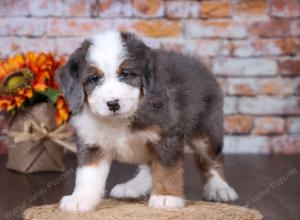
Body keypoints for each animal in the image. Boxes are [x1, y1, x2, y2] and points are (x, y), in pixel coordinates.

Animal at [55, 30, 239, 211]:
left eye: (126, 74)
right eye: (93, 78)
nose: (113, 104)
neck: (120, 121)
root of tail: (200, 65)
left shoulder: (167, 135)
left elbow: (166, 168)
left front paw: (166, 197)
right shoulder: (92, 141)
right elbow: (87, 174)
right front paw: (80, 199)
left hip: (206, 130)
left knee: (211, 160)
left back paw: (219, 188)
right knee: (149, 166)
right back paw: (134, 186)